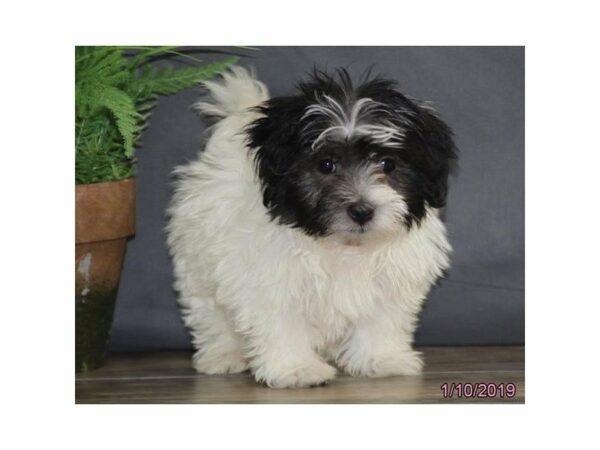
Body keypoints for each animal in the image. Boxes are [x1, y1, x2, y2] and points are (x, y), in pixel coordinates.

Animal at [166, 66, 458, 386]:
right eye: (326, 164)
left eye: (388, 164)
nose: (362, 211)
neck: (343, 245)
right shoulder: (273, 279)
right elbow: (283, 323)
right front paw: (296, 369)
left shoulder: (393, 280)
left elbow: (381, 321)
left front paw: (381, 359)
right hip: (197, 264)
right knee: (210, 312)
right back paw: (223, 355)